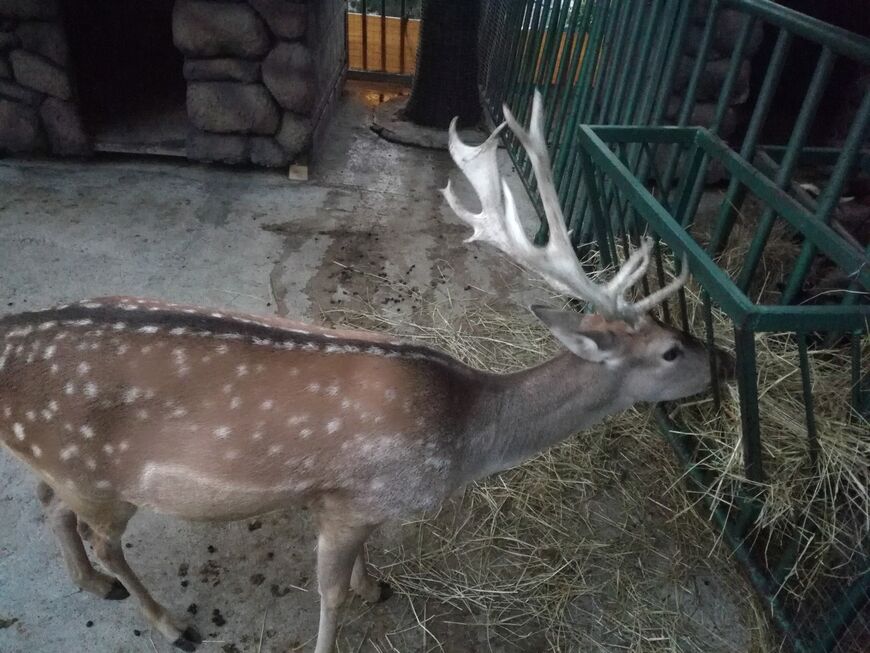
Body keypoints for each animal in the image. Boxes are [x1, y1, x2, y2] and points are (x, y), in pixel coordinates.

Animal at [0, 91, 728, 652]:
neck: (464, 435)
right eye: (670, 349)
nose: (719, 364)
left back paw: (92, 584)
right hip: (97, 477)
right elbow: (328, 597)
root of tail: (9, 340)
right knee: (101, 537)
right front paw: (344, 610)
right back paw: (169, 621)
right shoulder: (348, 502)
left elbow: (359, 572)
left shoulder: (361, 504)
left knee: (48, 503)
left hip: (62, 464)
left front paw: (374, 582)